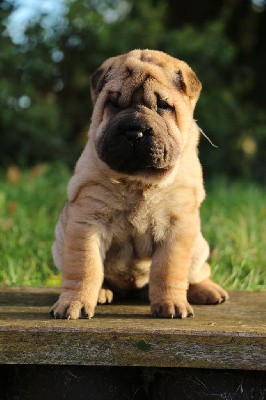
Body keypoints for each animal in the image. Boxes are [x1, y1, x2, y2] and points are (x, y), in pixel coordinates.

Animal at [50, 49, 229, 318]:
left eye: (163, 106)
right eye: (113, 104)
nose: (134, 131)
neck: (138, 181)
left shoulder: (177, 226)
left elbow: (168, 269)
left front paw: (171, 304)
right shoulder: (87, 222)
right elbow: (84, 268)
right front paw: (74, 303)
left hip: (198, 246)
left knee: (197, 273)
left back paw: (208, 291)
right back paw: (102, 292)